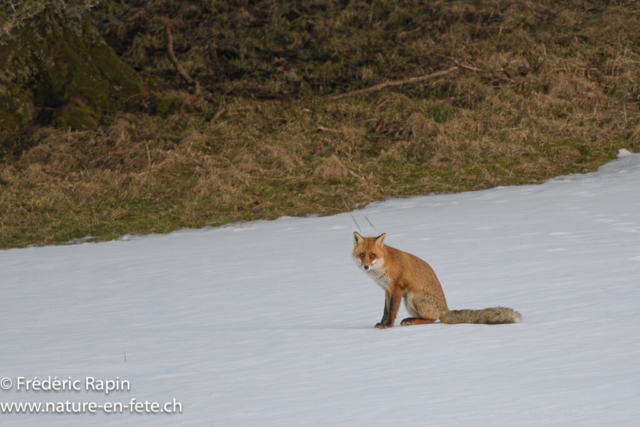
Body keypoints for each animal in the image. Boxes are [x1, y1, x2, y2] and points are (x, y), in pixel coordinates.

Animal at [353, 232, 522, 328]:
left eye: (372, 255)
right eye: (362, 255)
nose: (366, 266)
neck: (384, 264)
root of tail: (444, 310)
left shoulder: (397, 288)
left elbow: (392, 311)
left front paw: (388, 325)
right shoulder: (387, 290)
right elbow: (386, 310)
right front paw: (382, 323)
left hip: (412, 297)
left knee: (432, 320)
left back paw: (412, 321)